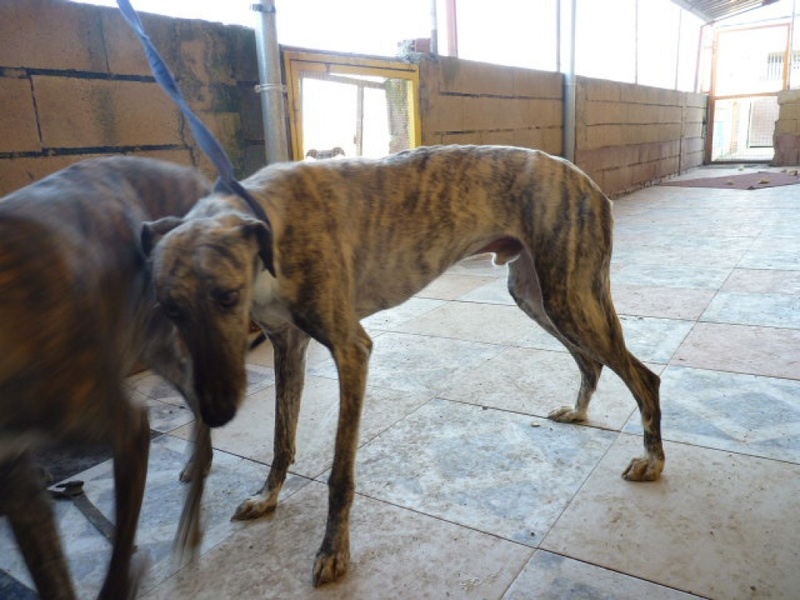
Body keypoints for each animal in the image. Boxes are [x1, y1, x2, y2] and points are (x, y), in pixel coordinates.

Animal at [0, 157, 209, 596]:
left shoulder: (128, 429)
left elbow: (118, 560)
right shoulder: (17, 483)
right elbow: (52, 578)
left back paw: (192, 516)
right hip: (158, 348)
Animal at [142, 144, 664, 584]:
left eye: (228, 297)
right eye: (169, 308)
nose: (214, 413)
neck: (270, 220)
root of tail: (588, 182)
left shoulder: (352, 349)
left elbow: (339, 473)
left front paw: (333, 551)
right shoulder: (286, 345)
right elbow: (280, 439)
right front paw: (268, 496)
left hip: (568, 296)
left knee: (646, 376)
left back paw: (653, 460)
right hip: (537, 295)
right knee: (592, 362)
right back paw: (579, 411)